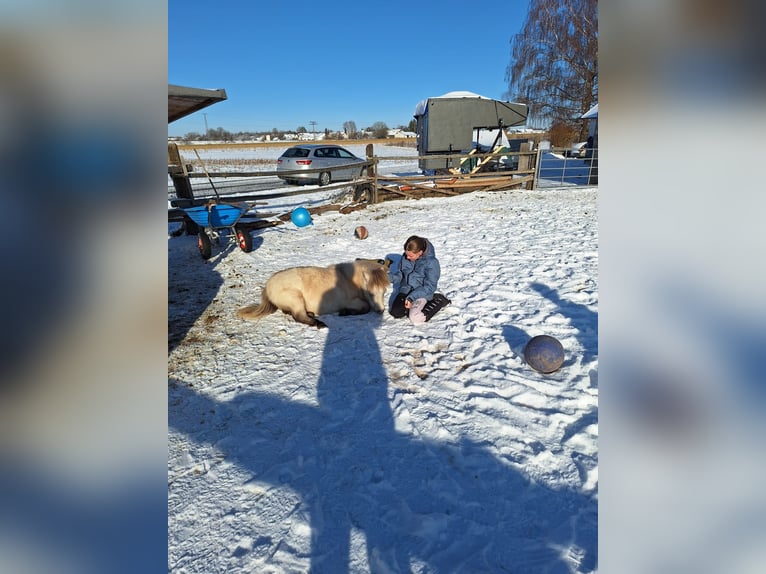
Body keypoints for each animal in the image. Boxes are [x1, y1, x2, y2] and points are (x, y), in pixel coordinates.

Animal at [237, 259, 390, 328]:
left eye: (384, 291)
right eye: (370, 293)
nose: (381, 311)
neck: (348, 279)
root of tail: (268, 286)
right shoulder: (353, 301)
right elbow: (365, 307)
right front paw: (345, 312)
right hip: (296, 299)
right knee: (298, 316)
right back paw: (318, 323)